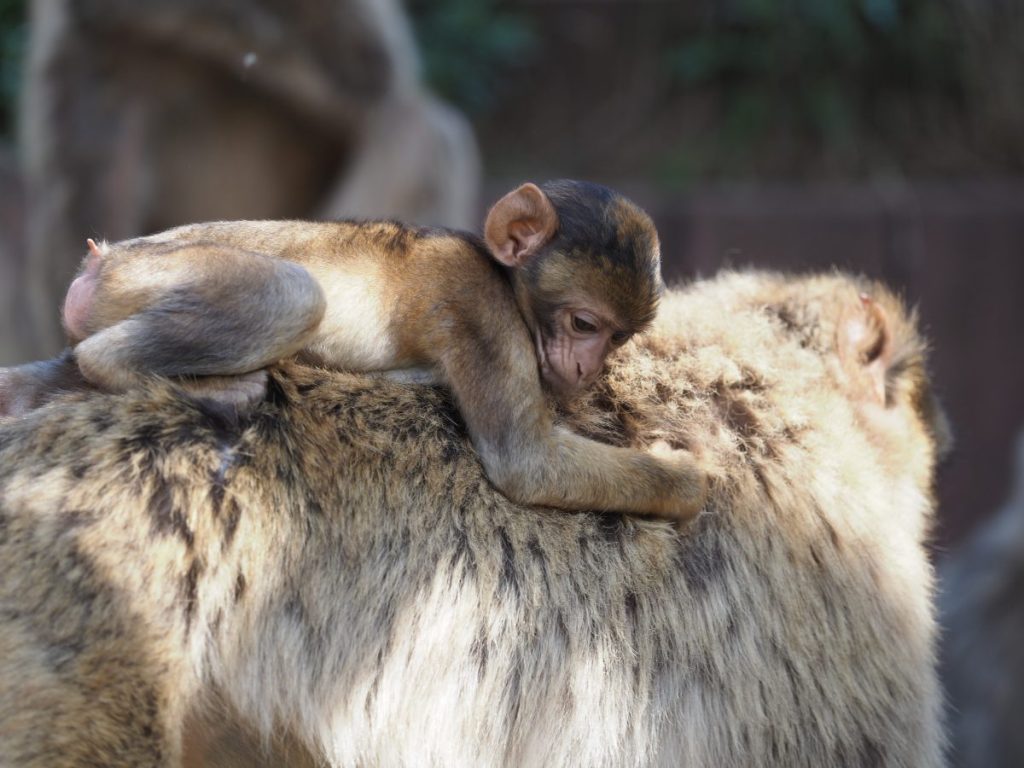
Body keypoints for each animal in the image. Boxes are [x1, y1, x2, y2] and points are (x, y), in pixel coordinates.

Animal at [16, 179, 708, 524]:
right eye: (585, 323)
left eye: (618, 337)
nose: (589, 366)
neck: (501, 275)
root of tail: (102, 261)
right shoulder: (483, 312)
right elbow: (524, 462)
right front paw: (689, 482)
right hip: (146, 276)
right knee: (292, 294)